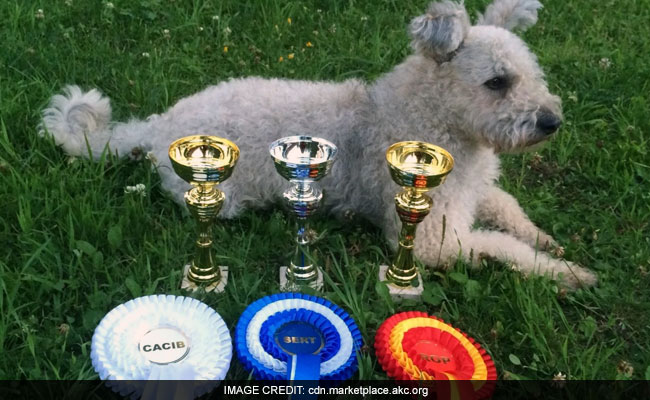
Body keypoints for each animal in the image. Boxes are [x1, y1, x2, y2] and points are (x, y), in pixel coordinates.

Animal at [40, 0, 596, 288]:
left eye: (532, 74)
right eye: (497, 82)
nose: (552, 123)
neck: (432, 118)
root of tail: (156, 127)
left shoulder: (471, 194)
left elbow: (508, 210)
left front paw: (545, 239)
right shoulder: (433, 241)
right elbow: (502, 247)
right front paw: (566, 271)